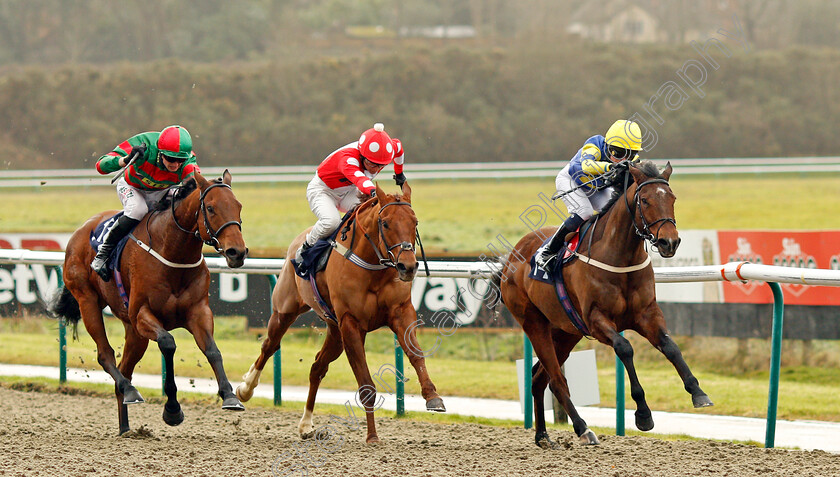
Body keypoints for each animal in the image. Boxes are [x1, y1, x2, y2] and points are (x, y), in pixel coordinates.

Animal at [49, 171, 248, 436]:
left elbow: (213, 350)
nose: (237, 252)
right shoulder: (143, 314)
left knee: (124, 368)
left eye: (238, 206)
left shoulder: (198, 312)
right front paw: (172, 410)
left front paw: (229, 396)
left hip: (134, 332)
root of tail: (80, 230)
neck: (173, 253)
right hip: (88, 301)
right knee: (105, 355)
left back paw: (125, 426)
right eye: (211, 207)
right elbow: (168, 343)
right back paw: (130, 391)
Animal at [236, 181, 446, 442]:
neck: (373, 267)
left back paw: (306, 424)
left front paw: (433, 397)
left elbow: (416, 354)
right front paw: (372, 436)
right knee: (269, 345)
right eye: (386, 223)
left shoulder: (400, 312)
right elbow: (366, 384)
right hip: (285, 310)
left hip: (334, 331)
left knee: (317, 367)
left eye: (414, 222)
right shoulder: (350, 322)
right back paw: (245, 389)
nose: (407, 266)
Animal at [502, 161, 712, 446]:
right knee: (556, 380)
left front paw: (698, 392)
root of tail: (511, 256)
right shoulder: (597, 320)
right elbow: (625, 348)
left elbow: (670, 346)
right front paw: (643, 414)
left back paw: (543, 435)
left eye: (672, 198)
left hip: (566, 331)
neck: (620, 257)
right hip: (534, 323)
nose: (669, 242)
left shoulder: (647, 314)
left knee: (538, 378)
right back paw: (583, 428)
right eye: (645, 200)